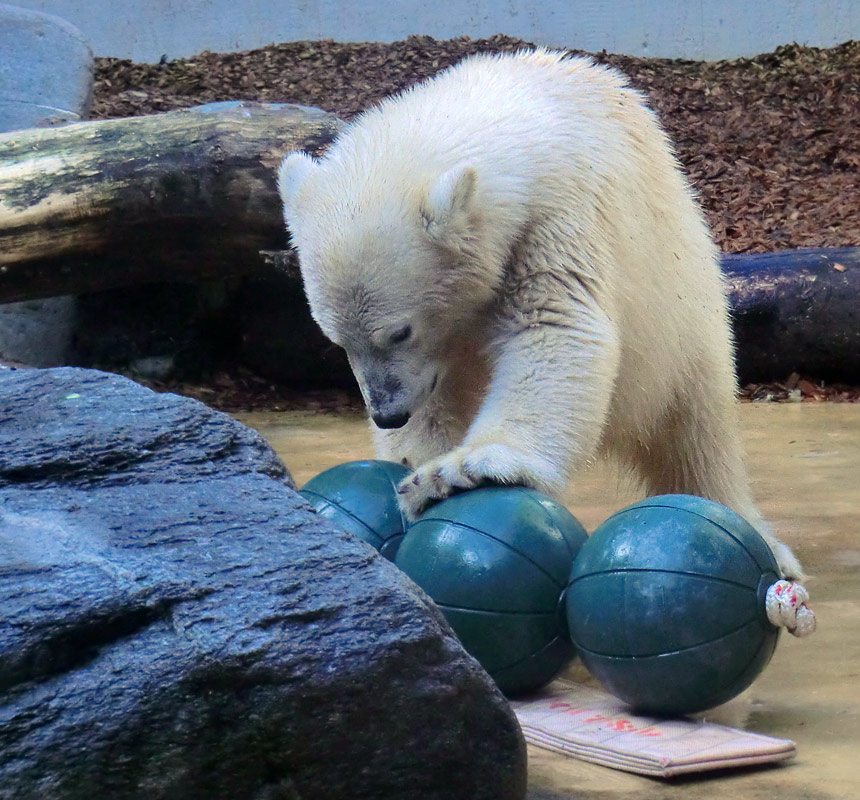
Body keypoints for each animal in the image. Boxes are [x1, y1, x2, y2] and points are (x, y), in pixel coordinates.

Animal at [278, 48, 804, 580]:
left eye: (400, 332)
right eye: (336, 339)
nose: (387, 414)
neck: (515, 114)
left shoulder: (556, 218)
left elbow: (555, 327)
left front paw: (460, 472)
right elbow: (438, 394)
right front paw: (415, 467)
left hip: (679, 305)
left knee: (697, 429)